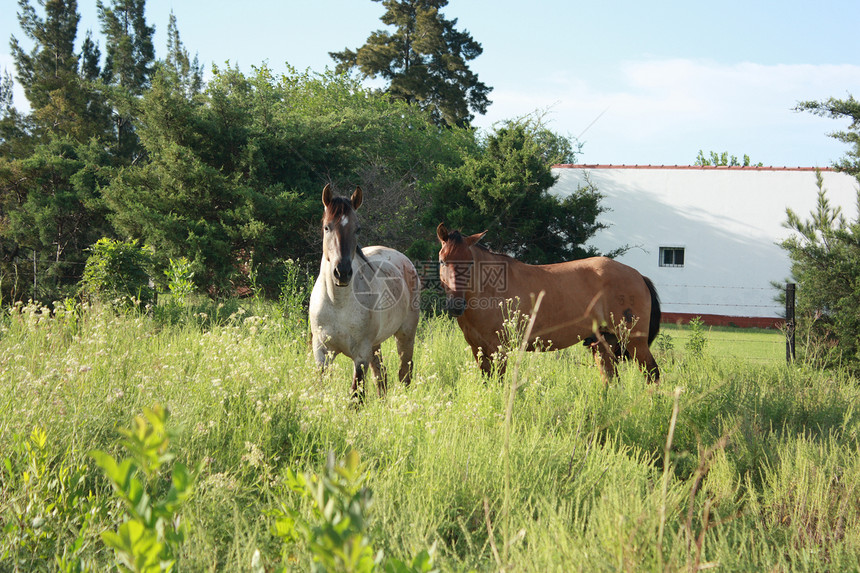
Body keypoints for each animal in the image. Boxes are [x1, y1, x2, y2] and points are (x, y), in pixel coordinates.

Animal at [308, 184, 422, 402]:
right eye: (327, 227)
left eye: (357, 229)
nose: (342, 272)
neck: (337, 303)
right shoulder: (322, 352)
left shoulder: (360, 354)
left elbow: (356, 397)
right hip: (375, 345)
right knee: (381, 376)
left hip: (404, 335)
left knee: (404, 374)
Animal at [440, 226, 660, 382]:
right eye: (443, 261)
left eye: (469, 262)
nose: (455, 305)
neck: (491, 289)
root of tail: (638, 275)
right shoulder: (478, 349)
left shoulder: (498, 349)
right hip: (603, 343)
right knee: (611, 378)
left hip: (635, 342)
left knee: (652, 374)